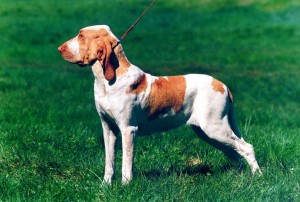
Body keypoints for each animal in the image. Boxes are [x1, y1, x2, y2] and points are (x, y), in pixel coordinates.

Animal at [58, 24, 260, 185]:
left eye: (81, 35)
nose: (60, 48)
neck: (107, 82)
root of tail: (223, 85)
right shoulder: (108, 129)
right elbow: (110, 162)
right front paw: (105, 186)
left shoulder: (128, 130)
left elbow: (126, 163)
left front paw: (125, 187)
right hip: (208, 133)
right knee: (235, 152)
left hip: (214, 128)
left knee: (246, 148)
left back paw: (258, 176)